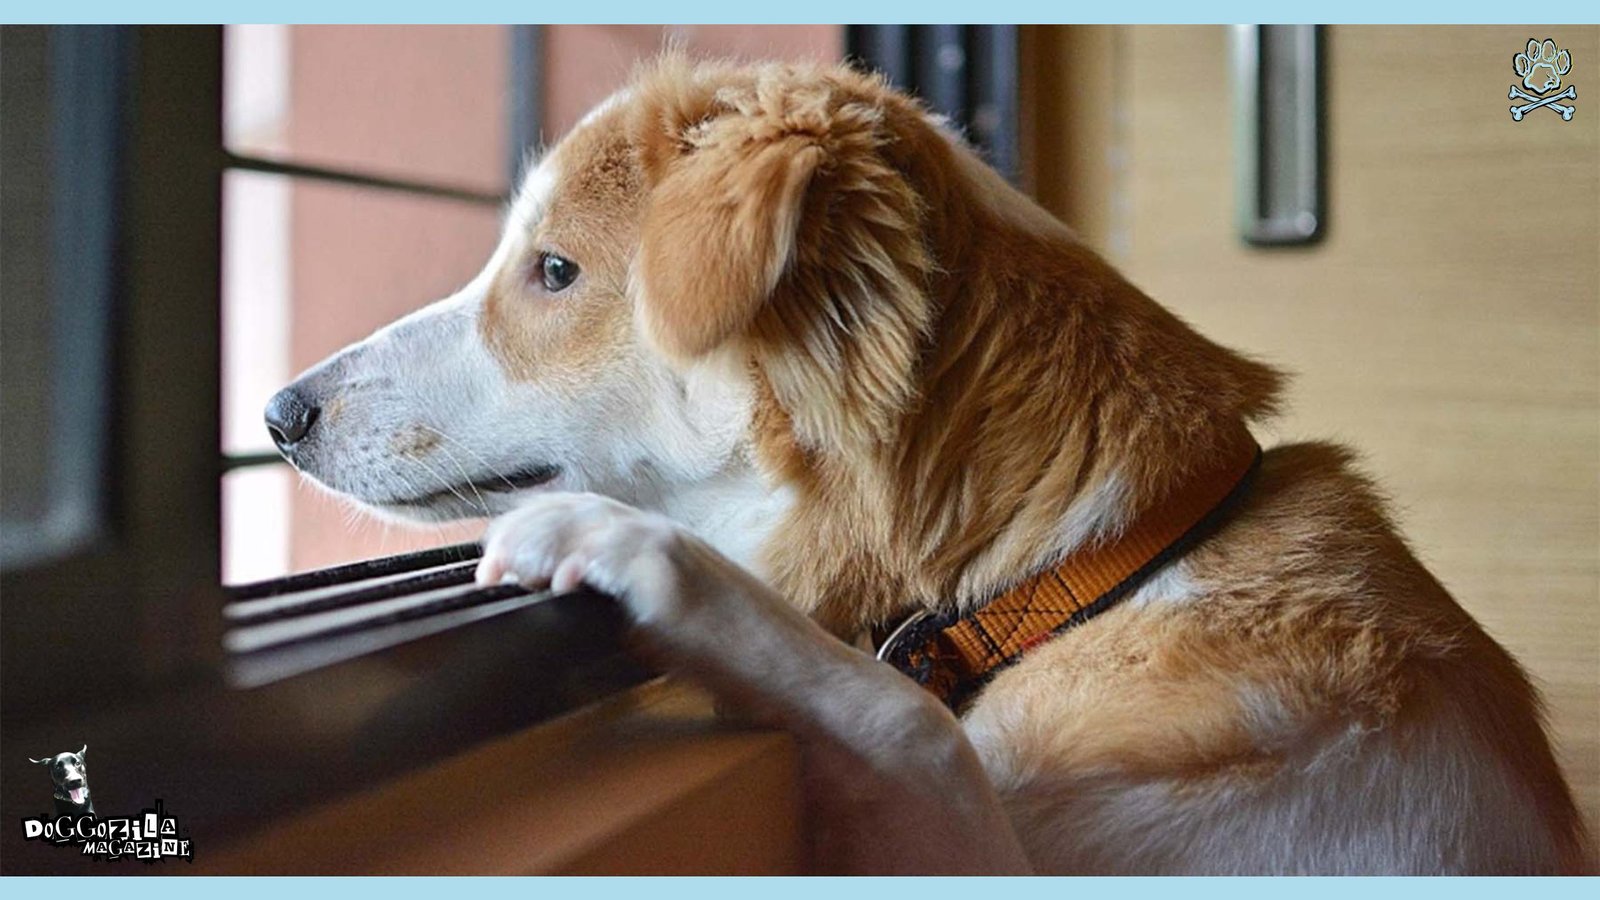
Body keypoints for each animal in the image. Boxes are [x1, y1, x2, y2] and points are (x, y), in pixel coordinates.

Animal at [268, 56, 1593, 871]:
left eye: (553, 271)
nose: (280, 411)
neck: (1085, 572)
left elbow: (904, 721)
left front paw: (642, 558)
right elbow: (914, 721)